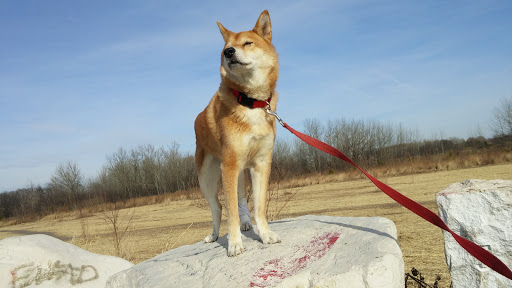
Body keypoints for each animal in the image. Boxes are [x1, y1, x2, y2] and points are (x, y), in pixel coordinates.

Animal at [194, 10, 280, 256]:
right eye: (226, 47)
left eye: (248, 43)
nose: (229, 52)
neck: (250, 102)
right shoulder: (230, 166)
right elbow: (230, 211)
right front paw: (234, 243)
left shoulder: (261, 163)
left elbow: (258, 207)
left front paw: (265, 234)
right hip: (207, 178)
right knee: (217, 208)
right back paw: (214, 235)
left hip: (240, 171)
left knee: (241, 200)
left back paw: (246, 223)